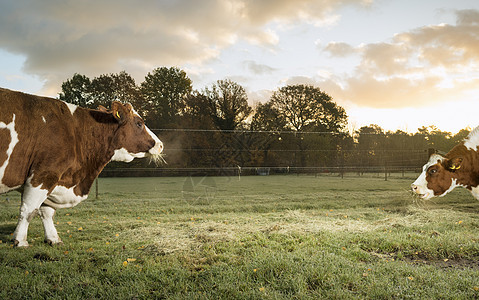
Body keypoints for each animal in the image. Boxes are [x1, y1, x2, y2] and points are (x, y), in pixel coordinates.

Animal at [0, 86, 164, 246]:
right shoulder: (44, 174)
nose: (161, 145)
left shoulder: (53, 180)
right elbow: (29, 210)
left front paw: (53, 238)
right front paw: (20, 240)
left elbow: (46, 211)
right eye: (139, 123)